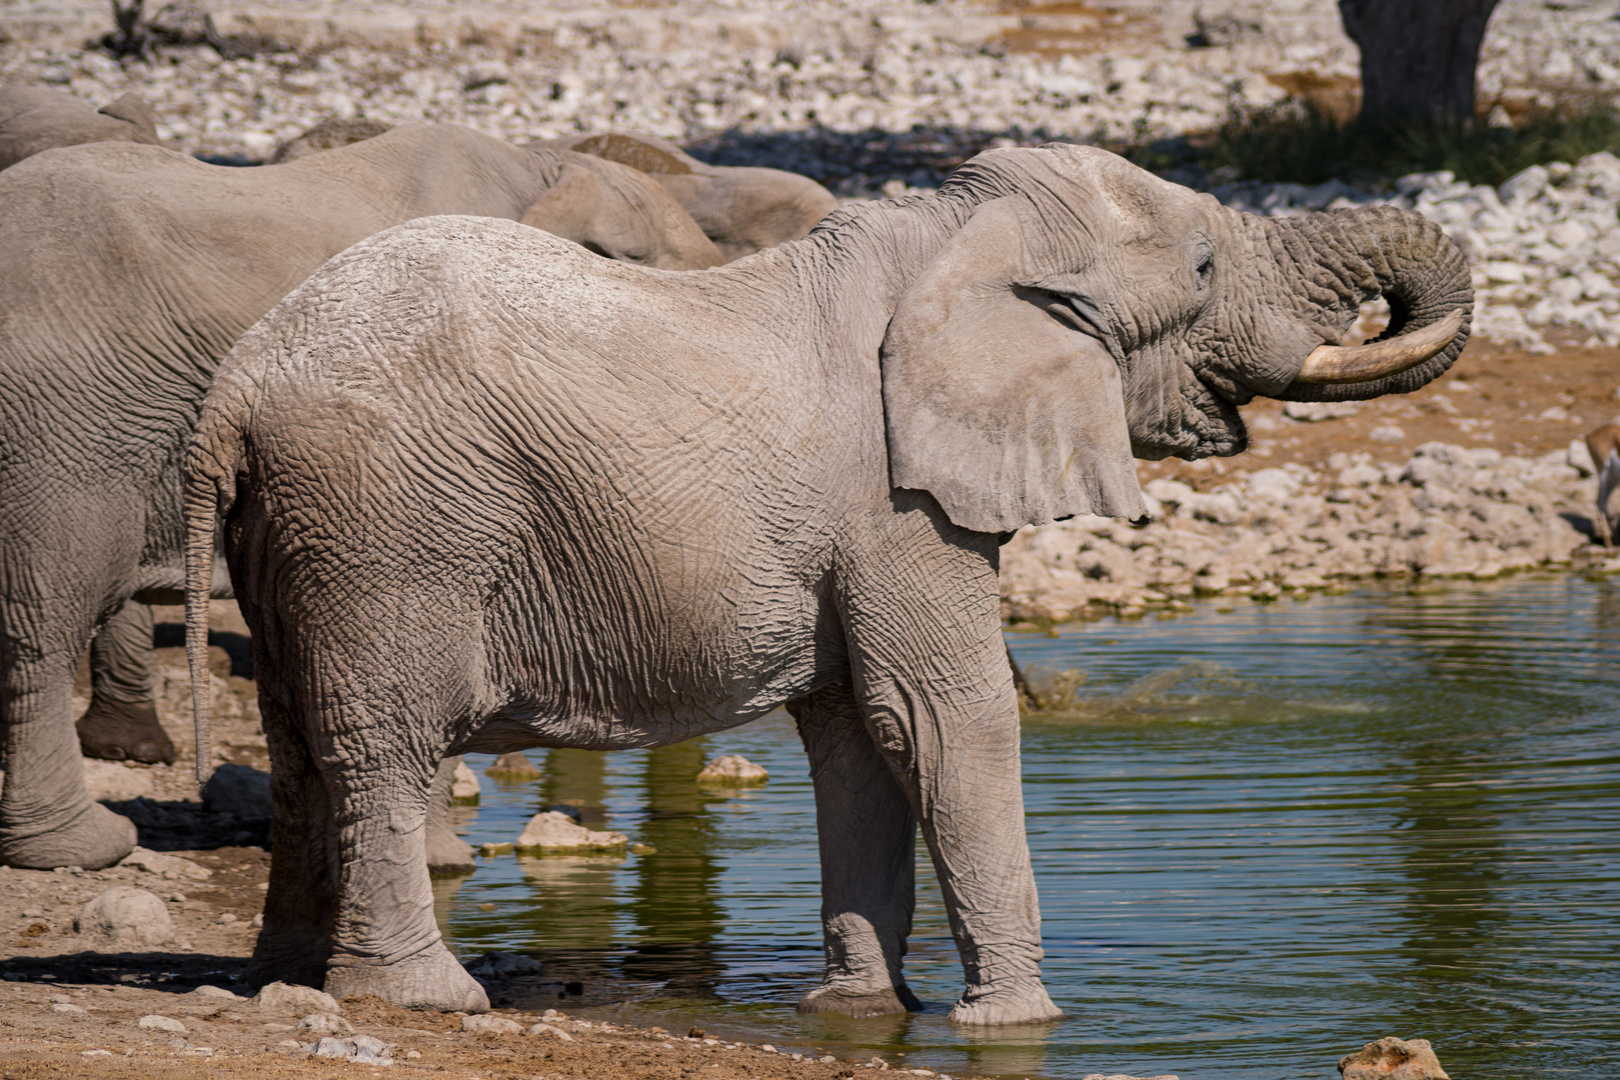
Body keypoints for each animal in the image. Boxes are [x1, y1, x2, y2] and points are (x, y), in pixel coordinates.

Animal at [0, 122, 722, 874]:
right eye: (643, 266)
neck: (545, 164)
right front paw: (443, 865)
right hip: (64, 421)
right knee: (53, 609)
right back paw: (85, 846)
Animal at [183, 141, 1477, 1023]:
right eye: (1205, 267)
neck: (952, 234)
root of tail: (238, 389)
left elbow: (860, 732)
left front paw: (860, 1011)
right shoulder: (896, 500)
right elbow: (945, 719)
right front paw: (1019, 1025)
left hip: (304, 535)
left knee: (300, 739)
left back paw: (285, 980)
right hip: (391, 526)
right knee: (386, 744)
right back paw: (423, 999)